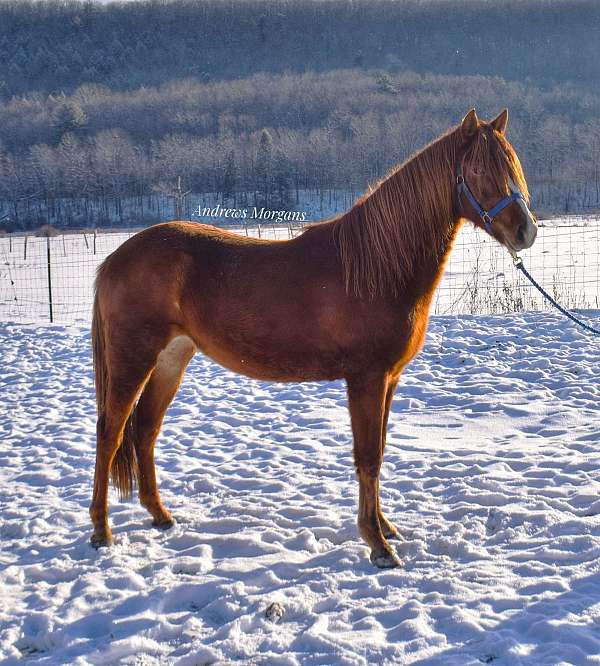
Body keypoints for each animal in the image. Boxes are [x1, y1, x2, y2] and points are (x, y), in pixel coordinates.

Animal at [90, 108, 537, 568]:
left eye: (513, 163)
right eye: (479, 169)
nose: (525, 231)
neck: (376, 267)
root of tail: (115, 258)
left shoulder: (389, 379)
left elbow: (380, 451)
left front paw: (385, 528)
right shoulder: (366, 379)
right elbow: (368, 458)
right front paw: (377, 544)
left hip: (170, 360)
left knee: (145, 430)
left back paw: (160, 515)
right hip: (132, 360)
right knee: (110, 432)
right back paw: (102, 531)